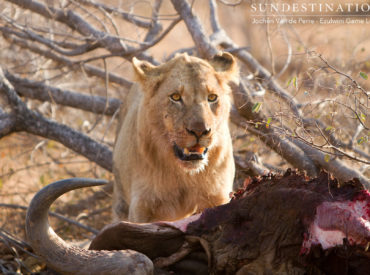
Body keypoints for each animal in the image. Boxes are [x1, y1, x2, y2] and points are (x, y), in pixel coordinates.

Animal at [112, 52, 238, 223]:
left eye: (212, 97)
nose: (200, 131)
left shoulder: (217, 197)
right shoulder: (141, 207)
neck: (183, 176)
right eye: (176, 97)